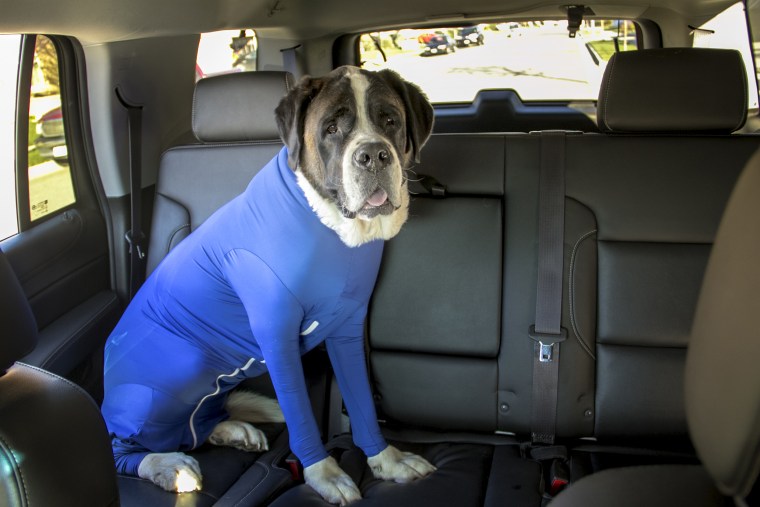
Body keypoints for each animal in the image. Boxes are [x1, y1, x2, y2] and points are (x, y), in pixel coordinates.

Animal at [98, 65, 436, 506]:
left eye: (390, 121)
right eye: (331, 128)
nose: (373, 155)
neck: (325, 224)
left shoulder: (346, 328)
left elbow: (360, 398)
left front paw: (386, 461)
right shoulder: (278, 338)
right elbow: (299, 412)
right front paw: (324, 475)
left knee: (195, 428)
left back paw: (232, 430)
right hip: (170, 373)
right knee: (123, 448)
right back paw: (169, 467)